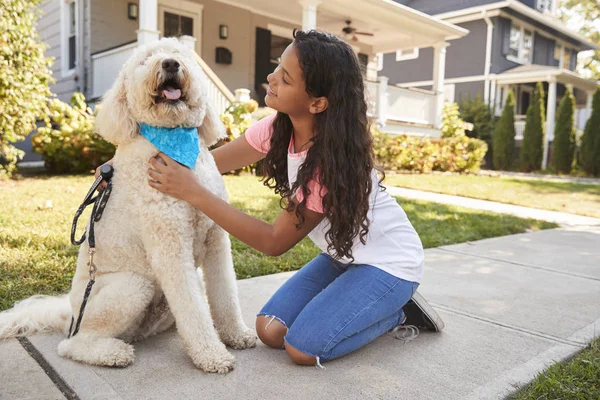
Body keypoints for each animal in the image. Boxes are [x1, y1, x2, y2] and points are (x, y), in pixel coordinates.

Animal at [0, 39, 255, 374]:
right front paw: (211, 354)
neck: (173, 143)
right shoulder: (170, 248)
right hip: (131, 286)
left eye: (182, 55)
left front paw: (236, 334)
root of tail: (69, 315)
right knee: (72, 345)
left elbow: (226, 294)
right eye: (145, 59)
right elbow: (194, 307)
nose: (170, 63)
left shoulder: (216, 239)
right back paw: (113, 353)